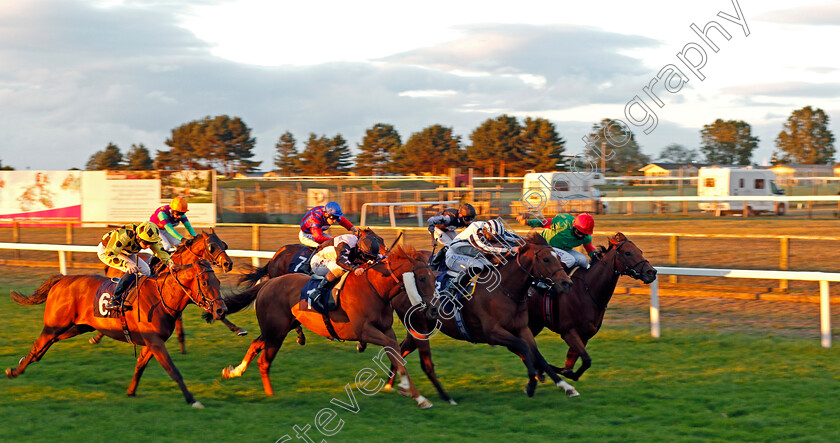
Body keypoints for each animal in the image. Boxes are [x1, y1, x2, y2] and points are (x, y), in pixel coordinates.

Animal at [4, 260, 226, 410]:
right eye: (205, 282)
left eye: (218, 281)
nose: (221, 310)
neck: (161, 297)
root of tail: (63, 279)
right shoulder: (155, 342)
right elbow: (174, 371)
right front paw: (192, 400)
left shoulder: (152, 342)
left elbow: (140, 366)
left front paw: (131, 391)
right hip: (56, 324)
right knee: (39, 343)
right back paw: (15, 371)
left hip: (76, 327)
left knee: (43, 347)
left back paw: (21, 363)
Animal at [96, 229, 244, 354]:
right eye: (211, 246)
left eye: (223, 244)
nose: (228, 264)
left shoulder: (191, 295)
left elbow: (211, 306)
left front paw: (238, 329)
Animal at [217, 246, 440, 410]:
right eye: (422, 278)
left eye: (434, 277)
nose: (434, 308)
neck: (375, 288)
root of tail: (267, 283)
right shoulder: (364, 331)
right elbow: (394, 350)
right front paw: (407, 389)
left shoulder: (386, 330)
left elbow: (396, 353)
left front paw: (417, 396)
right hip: (276, 333)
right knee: (264, 361)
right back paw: (271, 395)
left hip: (277, 329)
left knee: (255, 345)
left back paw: (234, 372)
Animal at [386, 234, 576, 400]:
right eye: (546, 259)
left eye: (557, 257)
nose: (567, 283)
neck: (504, 290)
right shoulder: (492, 333)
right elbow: (523, 347)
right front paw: (531, 384)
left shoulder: (522, 328)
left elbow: (538, 354)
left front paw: (566, 386)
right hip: (419, 327)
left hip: (421, 328)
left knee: (401, 349)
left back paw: (393, 385)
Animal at [528, 234, 660, 384]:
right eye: (628, 253)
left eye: (640, 251)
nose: (651, 272)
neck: (586, 290)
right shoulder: (568, 332)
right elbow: (584, 361)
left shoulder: (585, 334)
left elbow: (575, 366)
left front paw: (556, 371)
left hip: (535, 323)